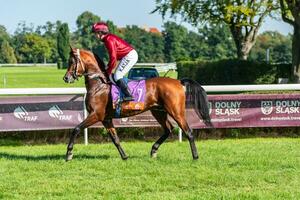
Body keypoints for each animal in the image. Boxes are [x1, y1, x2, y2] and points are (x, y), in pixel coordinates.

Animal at [62, 47, 212, 162]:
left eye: (71, 62)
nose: (66, 78)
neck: (99, 85)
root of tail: (178, 81)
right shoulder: (106, 119)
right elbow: (115, 138)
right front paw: (124, 156)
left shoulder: (96, 115)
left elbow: (76, 129)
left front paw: (69, 154)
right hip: (158, 111)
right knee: (168, 129)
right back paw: (153, 150)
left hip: (176, 111)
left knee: (188, 131)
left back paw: (195, 156)